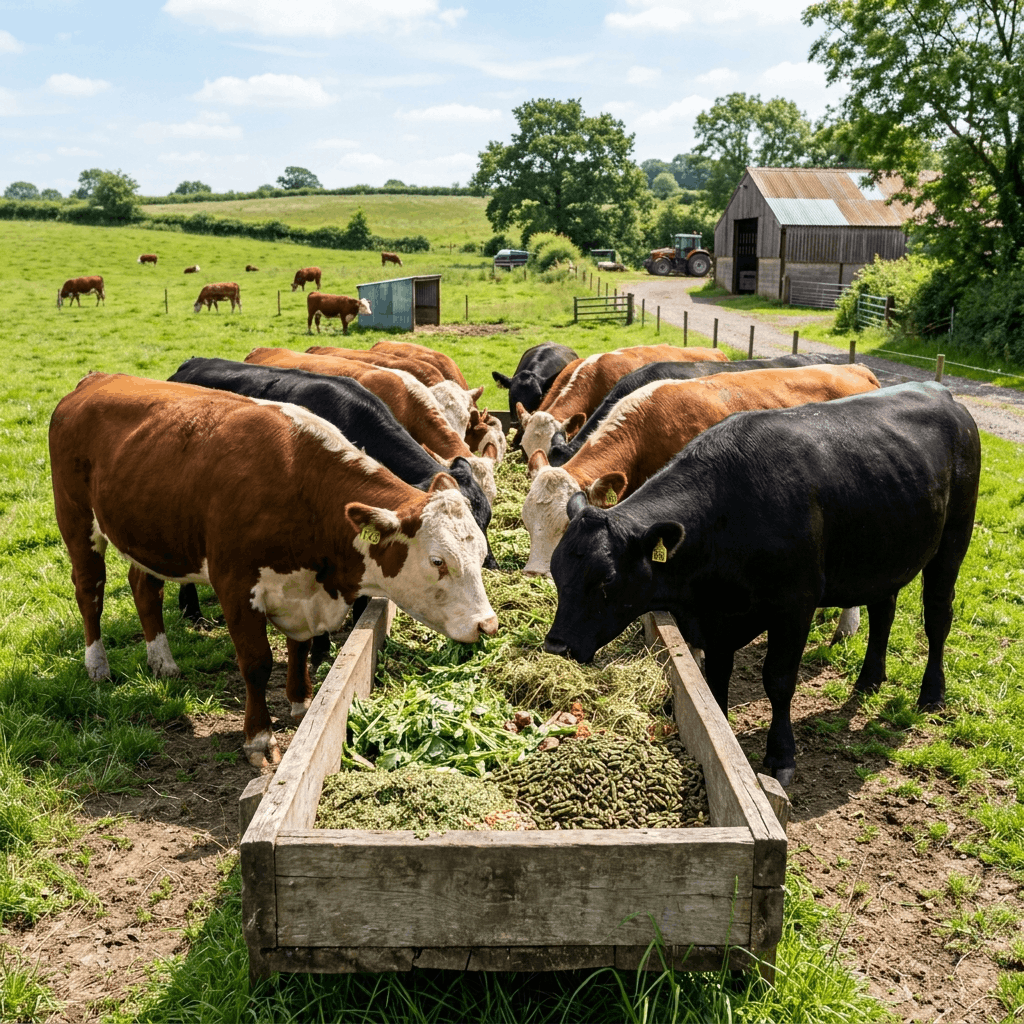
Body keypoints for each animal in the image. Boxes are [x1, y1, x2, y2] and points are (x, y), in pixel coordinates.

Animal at [543, 382, 981, 787]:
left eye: (606, 580)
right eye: (556, 571)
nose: (555, 646)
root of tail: (941, 392)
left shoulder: (795, 605)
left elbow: (779, 680)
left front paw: (781, 755)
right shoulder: (717, 618)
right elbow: (716, 677)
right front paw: (721, 730)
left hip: (953, 542)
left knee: (938, 618)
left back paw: (931, 694)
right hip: (882, 557)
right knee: (883, 611)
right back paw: (869, 679)